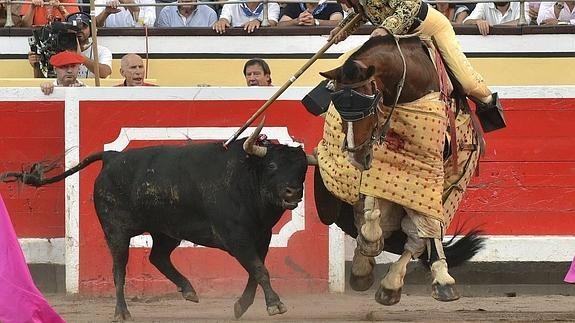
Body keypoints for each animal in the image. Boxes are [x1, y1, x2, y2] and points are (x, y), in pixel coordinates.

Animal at [2, 127, 484, 322]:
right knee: (121, 268)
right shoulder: (236, 238)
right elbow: (260, 270)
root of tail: (114, 157)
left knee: (158, 257)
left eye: (300, 171)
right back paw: (122, 311)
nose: (290, 194)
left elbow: (257, 270)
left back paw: (189, 291)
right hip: (117, 230)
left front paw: (243, 305)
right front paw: (275, 304)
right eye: (270, 166)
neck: (249, 185)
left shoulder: (261, 237)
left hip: (166, 230)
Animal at [320, 35, 482, 306]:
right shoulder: (379, 165)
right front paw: (369, 245)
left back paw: (400, 283)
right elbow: (372, 207)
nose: (356, 156)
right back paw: (363, 266)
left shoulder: (430, 175)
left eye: (369, 105)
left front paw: (441, 279)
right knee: (382, 222)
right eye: (339, 108)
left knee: (418, 238)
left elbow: (423, 229)